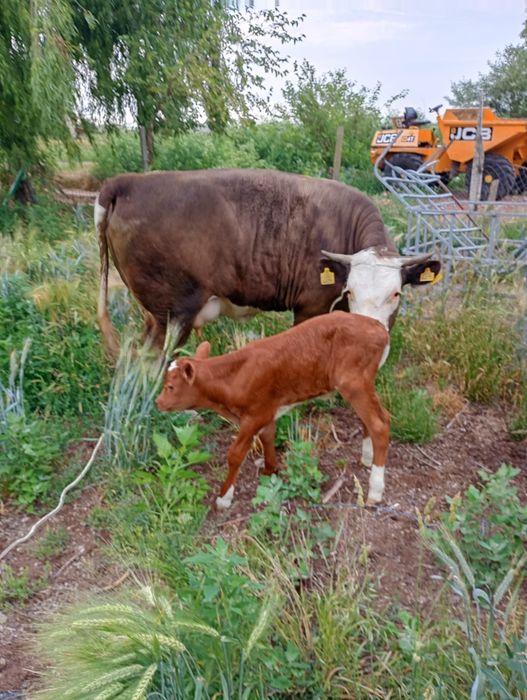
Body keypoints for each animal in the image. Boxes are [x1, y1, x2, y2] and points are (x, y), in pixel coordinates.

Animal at [95, 169, 441, 355]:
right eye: (350, 291)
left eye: (396, 293)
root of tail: (128, 181)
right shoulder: (310, 307)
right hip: (172, 313)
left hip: (155, 314)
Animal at [156, 310, 391, 509]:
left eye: (170, 387)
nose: (157, 402)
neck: (234, 377)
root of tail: (377, 325)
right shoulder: (267, 410)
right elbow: (268, 436)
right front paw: (270, 470)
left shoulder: (254, 415)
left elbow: (235, 454)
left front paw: (224, 497)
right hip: (362, 384)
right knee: (376, 417)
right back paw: (367, 457)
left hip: (353, 383)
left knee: (379, 425)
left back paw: (375, 491)